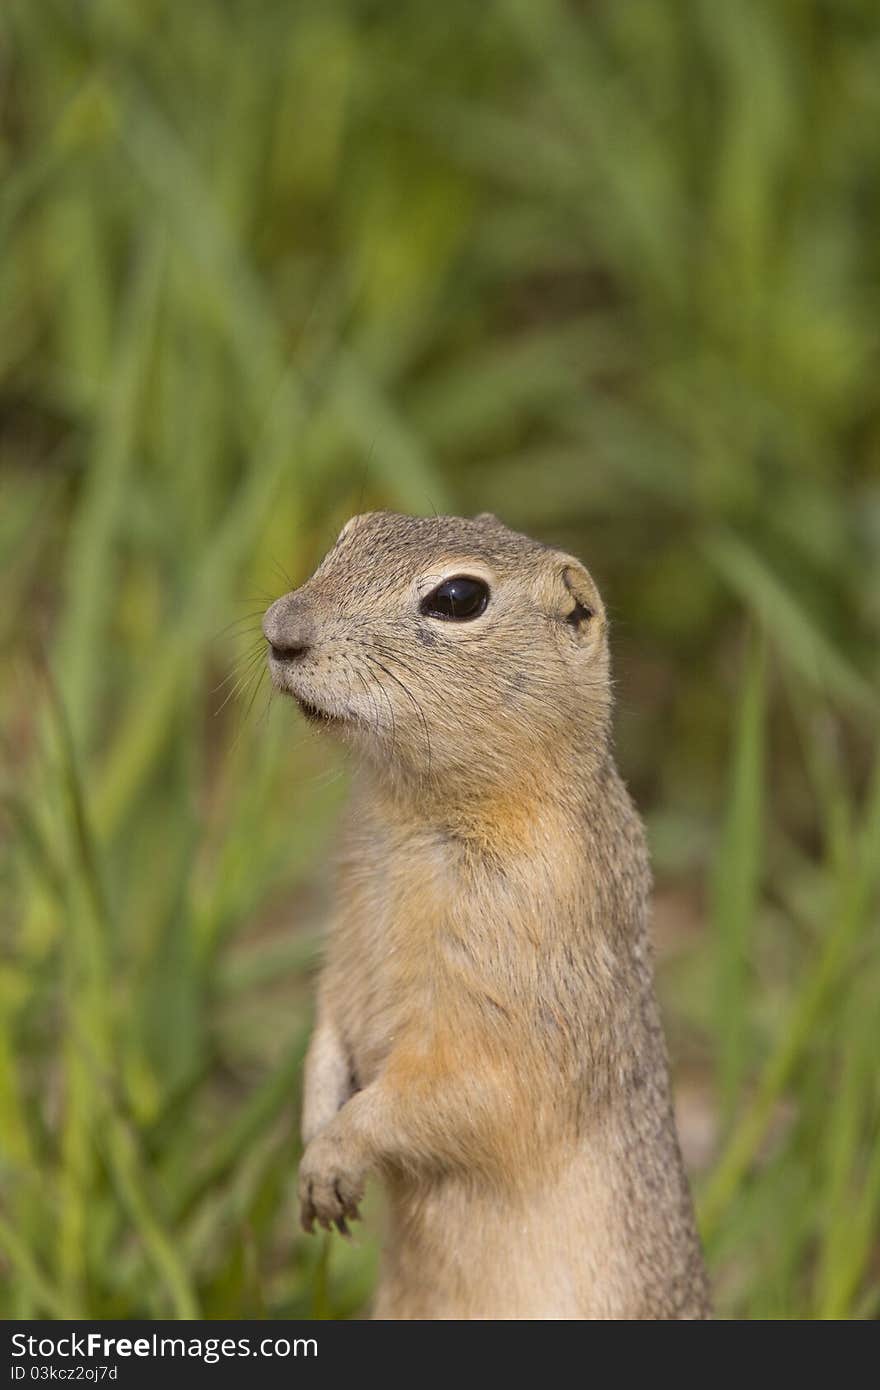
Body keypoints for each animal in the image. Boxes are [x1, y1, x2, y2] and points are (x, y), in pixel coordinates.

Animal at [261, 514, 706, 1323]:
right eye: (351, 533)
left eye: (459, 598)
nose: (281, 629)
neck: (413, 812)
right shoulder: (344, 935)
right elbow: (328, 1031)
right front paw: (313, 1135)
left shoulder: (512, 992)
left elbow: (460, 1095)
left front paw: (333, 1155)